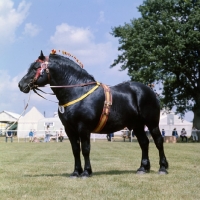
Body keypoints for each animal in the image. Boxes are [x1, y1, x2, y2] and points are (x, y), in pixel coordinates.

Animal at [18, 50, 169, 177]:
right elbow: (75, 150)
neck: (77, 92)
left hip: (152, 124)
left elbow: (85, 149)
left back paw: (162, 168)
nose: (21, 84)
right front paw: (76, 172)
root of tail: (149, 90)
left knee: (158, 141)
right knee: (144, 143)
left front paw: (86, 172)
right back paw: (143, 168)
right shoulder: (69, 130)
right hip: (137, 126)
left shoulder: (83, 128)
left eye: (36, 67)